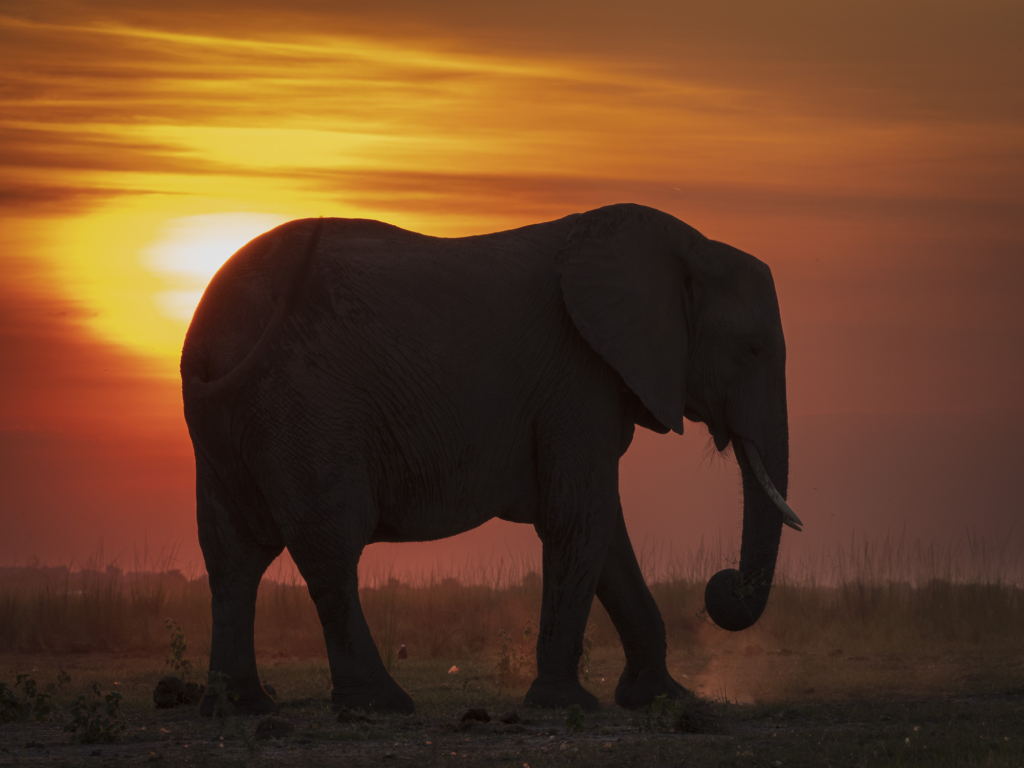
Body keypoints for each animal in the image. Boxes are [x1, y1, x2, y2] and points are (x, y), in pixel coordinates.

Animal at [182, 202, 798, 716]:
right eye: (752, 349)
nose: (721, 586)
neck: (690, 247)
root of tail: (204, 333)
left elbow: (602, 529)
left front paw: (663, 698)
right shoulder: (577, 375)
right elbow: (581, 517)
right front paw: (564, 705)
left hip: (227, 429)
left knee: (232, 557)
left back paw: (240, 706)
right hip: (307, 405)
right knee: (329, 547)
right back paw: (382, 705)